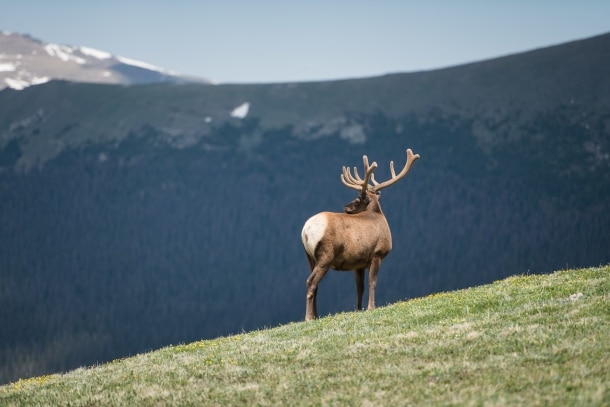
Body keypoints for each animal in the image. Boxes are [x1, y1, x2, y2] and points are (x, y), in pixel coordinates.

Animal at [300, 148, 418, 320]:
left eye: (356, 200)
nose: (345, 207)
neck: (379, 215)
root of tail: (306, 231)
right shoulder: (377, 253)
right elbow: (372, 282)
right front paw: (371, 307)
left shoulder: (358, 262)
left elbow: (360, 287)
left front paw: (358, 309)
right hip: (326, 254)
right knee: (311, 281)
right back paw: (308, 317)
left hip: (310, 257)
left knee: (315, 284)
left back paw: (315, 316)